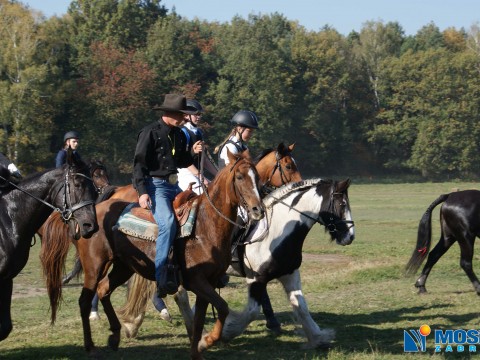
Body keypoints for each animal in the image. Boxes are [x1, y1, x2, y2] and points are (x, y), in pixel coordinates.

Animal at [40, 151, 266, 360]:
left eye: (256, 176)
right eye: (239, 177)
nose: (258, 209)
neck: (205, 224)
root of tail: (88, 214)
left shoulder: (207, 282)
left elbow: (202, 318)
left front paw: (198, 349)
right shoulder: (196, 280)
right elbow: (222, 307)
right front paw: (207, 341)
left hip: (123, 267)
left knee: (104, 289)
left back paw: (115, 334)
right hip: (95, 266)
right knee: (85, 301)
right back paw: (91, 346)